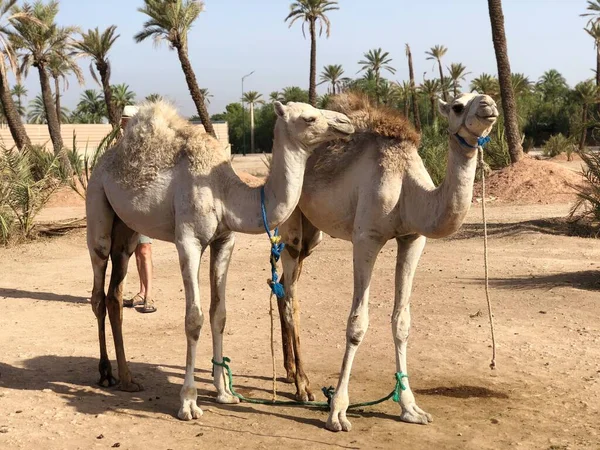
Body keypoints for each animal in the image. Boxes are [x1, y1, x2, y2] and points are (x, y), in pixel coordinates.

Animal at [86, 100, 354, 420]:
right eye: (309, 117)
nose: (346, 123)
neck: (224, 191)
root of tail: (103, 162)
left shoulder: (225, 240)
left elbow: (219, 314)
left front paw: (225, 392)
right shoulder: (188, 241)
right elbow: (194, 318)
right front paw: (189, 402)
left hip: (126, 229)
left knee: (114, 294)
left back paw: (127, 379)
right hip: (97, 205)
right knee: (98, 289)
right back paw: (105, 373)